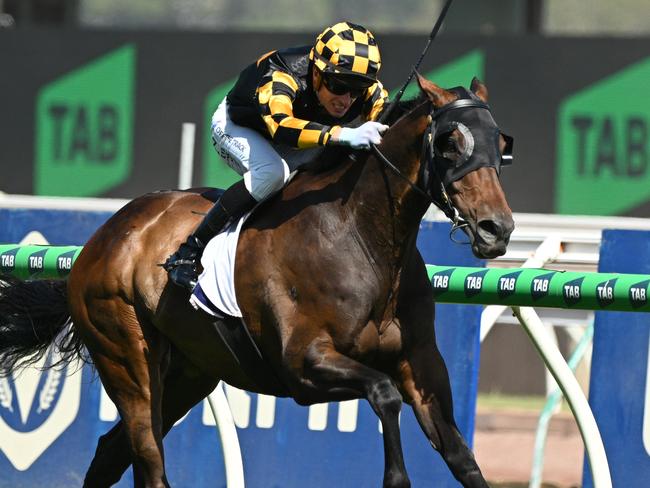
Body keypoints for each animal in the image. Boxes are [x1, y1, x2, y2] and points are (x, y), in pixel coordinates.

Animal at [2, 73, 512, 488]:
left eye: (501, 143)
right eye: (451, 142)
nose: (497, 228)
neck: (360, 237)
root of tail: (101, 239)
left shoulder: (421, 364)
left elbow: (460, 456)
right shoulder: (303, 364)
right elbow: (384, 395)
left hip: (190, 371)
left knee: (112, 453)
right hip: (126, 357)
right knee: (148, 457)